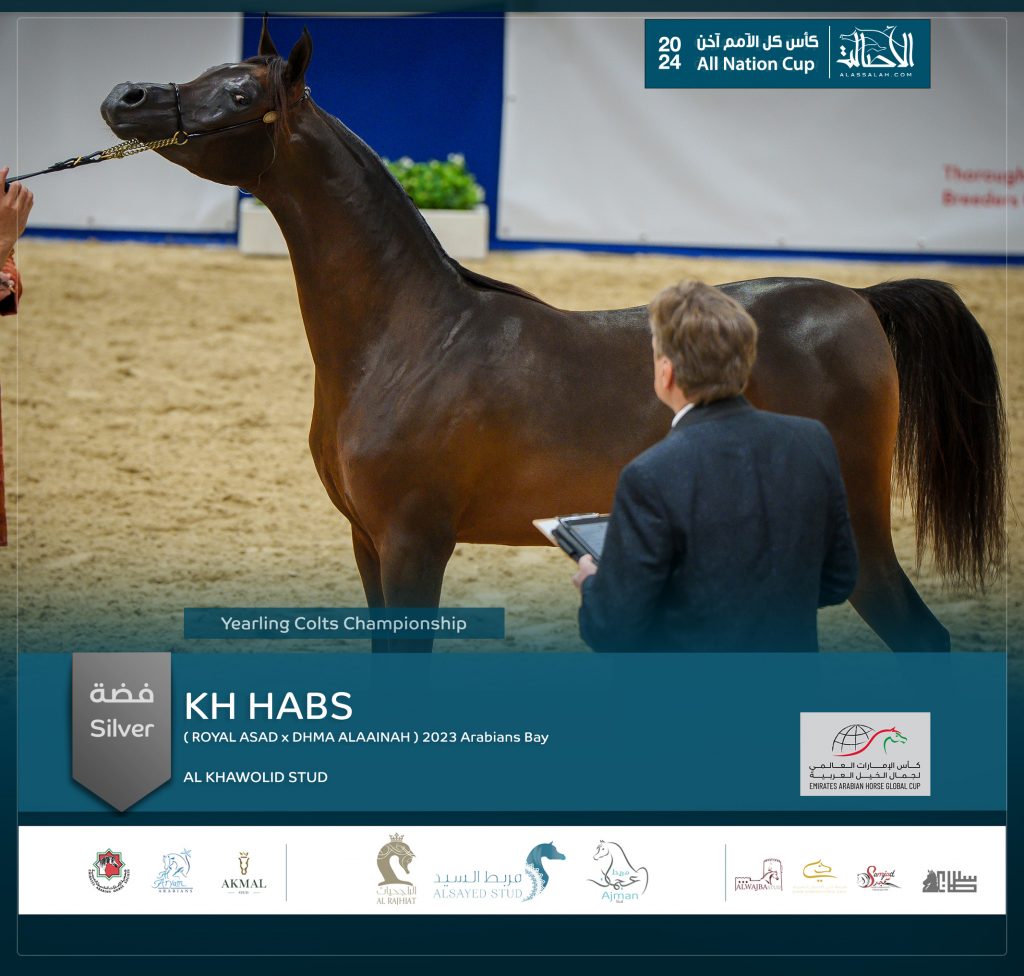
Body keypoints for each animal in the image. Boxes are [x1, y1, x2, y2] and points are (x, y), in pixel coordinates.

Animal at [100, 19, 1006, 653]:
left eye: (240, 96)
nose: (126, 98)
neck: (412, 337)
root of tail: (858, 298)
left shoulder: (415, 542)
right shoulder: (367, 542)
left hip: (859, 532)